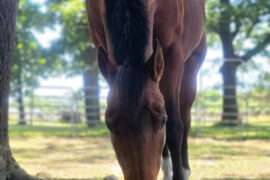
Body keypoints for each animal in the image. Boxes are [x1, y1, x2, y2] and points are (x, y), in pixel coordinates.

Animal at [85, 0, 206, 180]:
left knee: (185, 119)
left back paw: (185, 170)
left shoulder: (173, 52)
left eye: (162, 120)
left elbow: (174, 127)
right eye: (108, 124)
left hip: (191, 68)